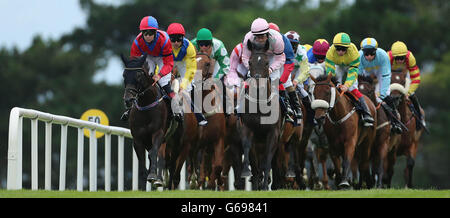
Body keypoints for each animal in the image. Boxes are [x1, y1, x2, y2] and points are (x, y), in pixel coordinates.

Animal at [120, 54, 168, 189]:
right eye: (124, 75)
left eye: (138, 75)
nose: (128, 100)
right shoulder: (137, 137)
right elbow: (141, 158)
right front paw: (143, 179)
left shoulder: (158, 132)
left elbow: (154, 153)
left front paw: (152, 175)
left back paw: (160, 179)